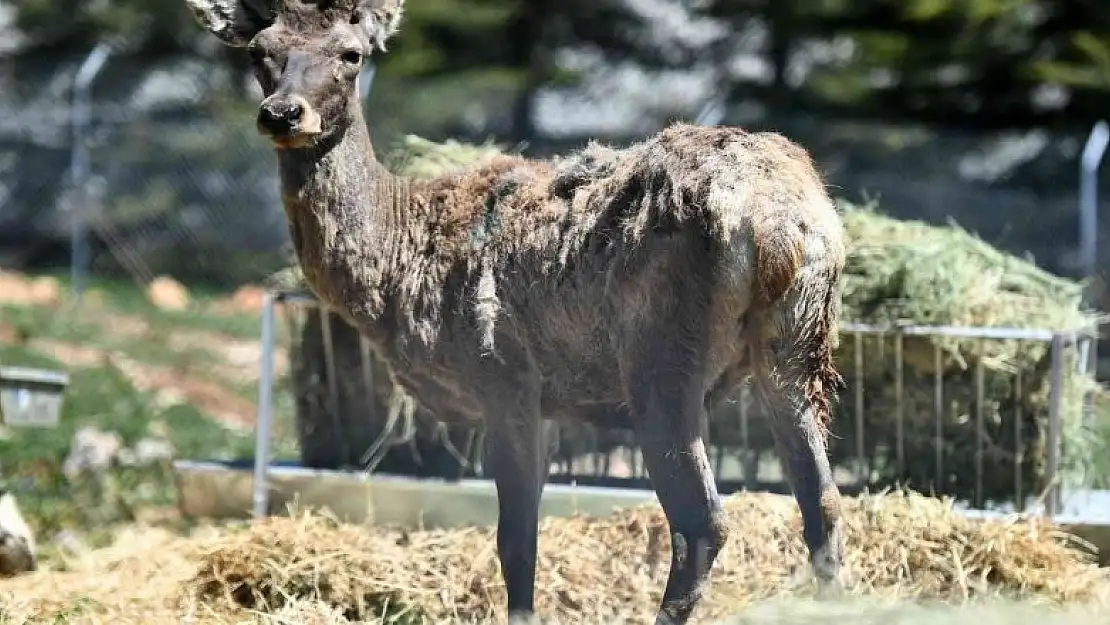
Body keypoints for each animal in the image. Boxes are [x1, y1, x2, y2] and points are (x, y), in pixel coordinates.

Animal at [184, 0, 848, 621]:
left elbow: (516, 542)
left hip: (662, 357)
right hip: (798, 343)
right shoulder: (548, 402)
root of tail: (777, 222)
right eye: (260, 52)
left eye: (352, 54)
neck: (397, 264)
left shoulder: (501, 377)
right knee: (823, 503)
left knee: (702, 522)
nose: (282, 114)